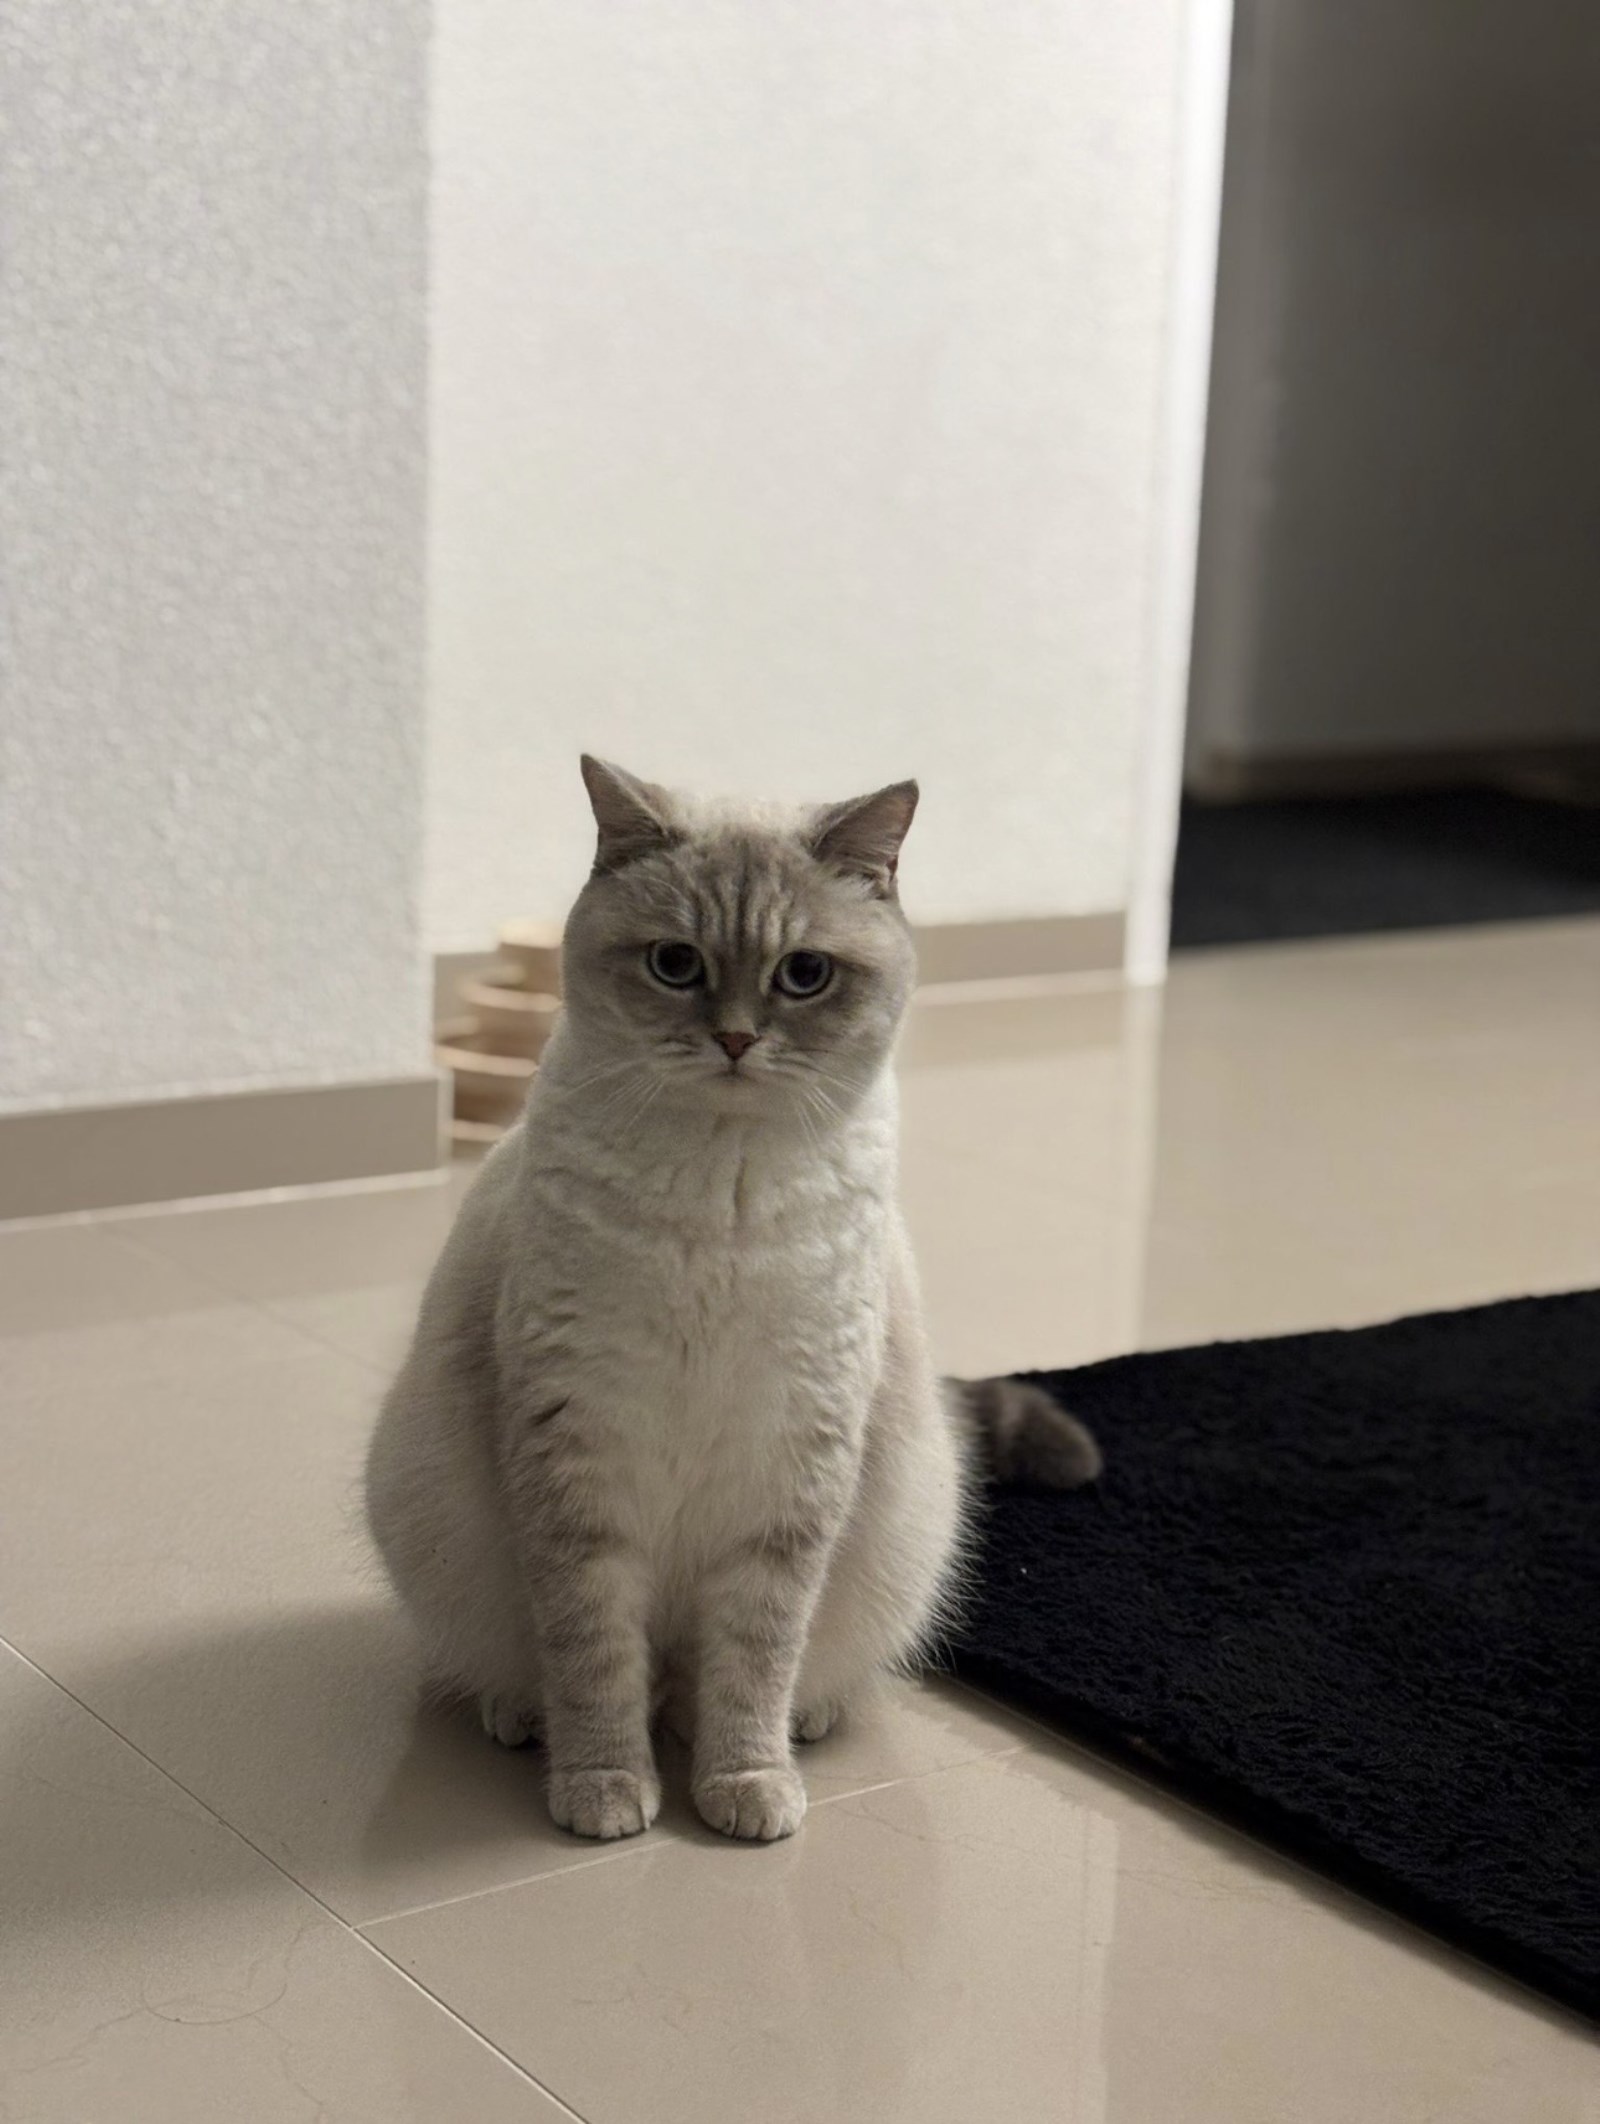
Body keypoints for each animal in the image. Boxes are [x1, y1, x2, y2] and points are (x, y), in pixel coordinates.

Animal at [365, 757, 1100, 1843]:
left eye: (805, 974)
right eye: (676, 963)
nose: (737, 1040)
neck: (721, 1190)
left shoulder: (792, 1471)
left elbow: (754, 1663)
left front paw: (746, 1788)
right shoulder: (579, 1460)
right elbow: (594, 1660)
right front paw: (604, 1793)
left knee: (736, 1688)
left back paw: (801, 1725)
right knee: (552, 1676)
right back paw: (522, 1718)